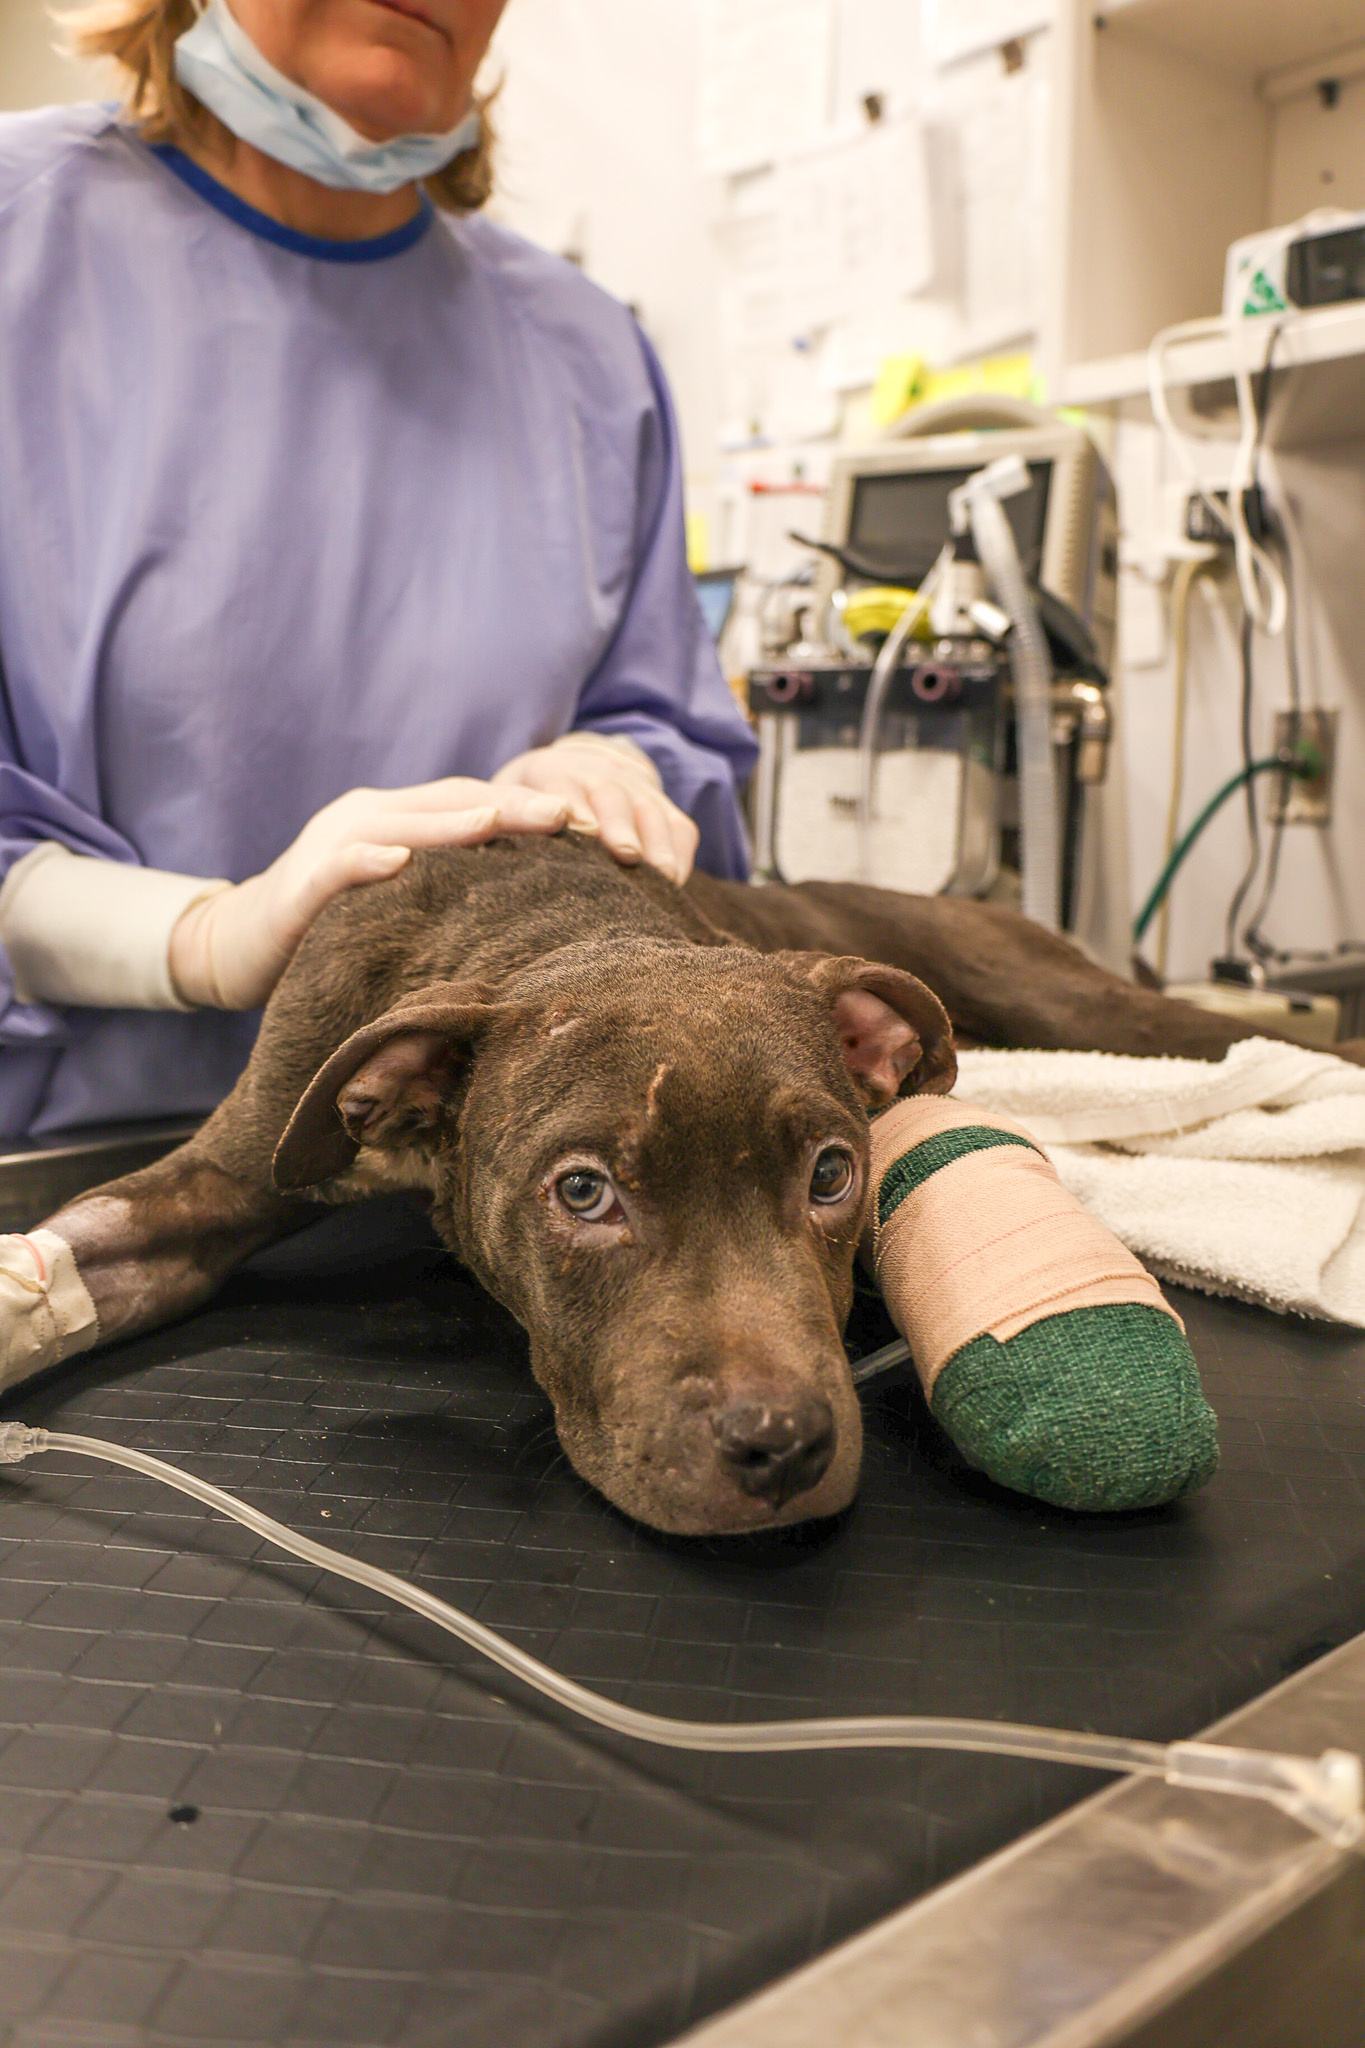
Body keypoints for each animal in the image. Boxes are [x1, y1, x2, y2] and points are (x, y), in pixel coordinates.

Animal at [26, 835, 1293, 1540]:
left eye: (833, 1172)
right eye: (584, 1193)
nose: (781, 1446)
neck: (557, 930)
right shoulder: (217, 1174)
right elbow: (80, 1245)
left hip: (1077, 1005)